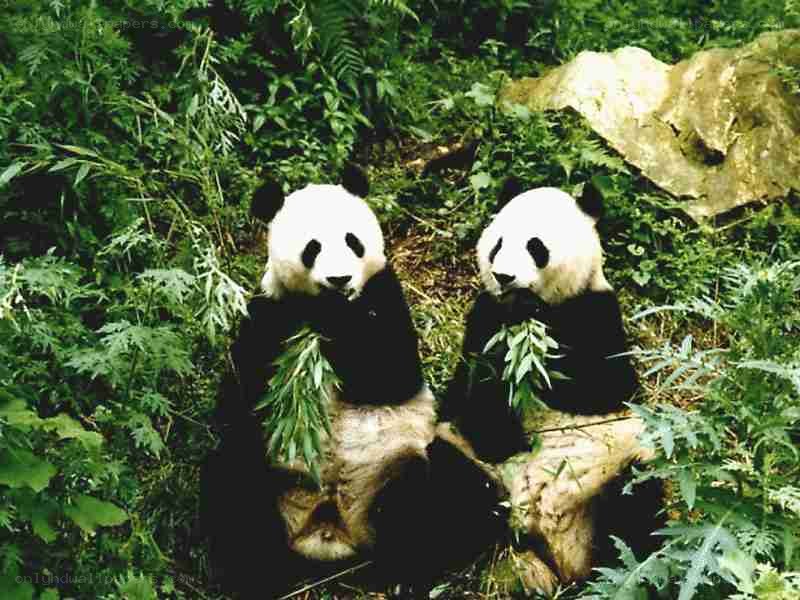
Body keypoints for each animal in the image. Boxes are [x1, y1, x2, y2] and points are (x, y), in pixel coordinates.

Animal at [200, 165, 506, 599]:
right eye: (312, 247)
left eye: (352, 241)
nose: (340, 278)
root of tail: (332, 528)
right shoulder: (270, 313)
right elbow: (245, 393)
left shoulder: (384, 296)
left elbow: (388, 372)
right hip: (277, 477)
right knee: (234, 490)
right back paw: (260, 577)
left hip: (393, 466)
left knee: (442, 497)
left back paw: (409, 572)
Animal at [443, 177, 639, 464]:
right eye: (498, 245)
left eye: (535, 247)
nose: (503, 276)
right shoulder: (483, 316)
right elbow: (472, 403)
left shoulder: (596, 310)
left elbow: (607, 384)